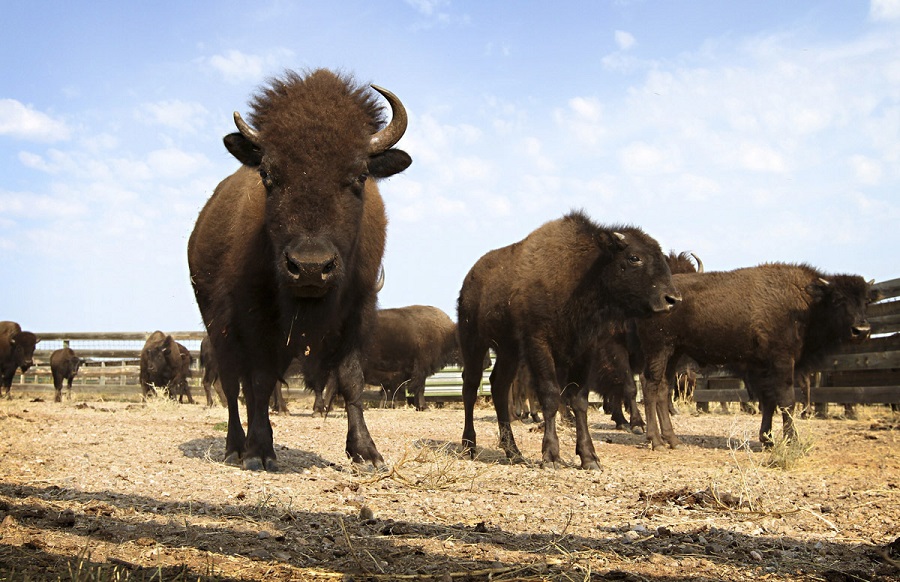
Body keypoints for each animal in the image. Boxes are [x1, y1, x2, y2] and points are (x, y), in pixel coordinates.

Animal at [191, 68, 414, 472]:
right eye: (267, 174)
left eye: (360, 175)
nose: (310, 267)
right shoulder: (254, 318)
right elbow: (260, 381)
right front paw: (258, 452)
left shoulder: (357, 311)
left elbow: (351, 379)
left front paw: (367, 453)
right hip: (218, 330)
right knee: (232, 387)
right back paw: (235, 447)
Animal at [458, 212, 684, 472]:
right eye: (634, 257)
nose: (672, 299)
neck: (581, 273)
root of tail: (470, 278)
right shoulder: (539, 344)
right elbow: (550, 395)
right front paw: (551, 456)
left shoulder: (585, 349)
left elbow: (579, 400)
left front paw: (589, 457)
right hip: (474, 341)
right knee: (470, 387)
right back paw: (469, 446)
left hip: (509, 351)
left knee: (499, 386)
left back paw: (514, 452)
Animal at [636, 264, 876, 452]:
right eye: (838, 299)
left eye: (866, 301)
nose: (862, 330)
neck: (806, 304)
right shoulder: (782, 361)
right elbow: (787, 401)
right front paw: (792, 441)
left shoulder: (763, 368)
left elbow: (769, 401)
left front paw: (767, 440)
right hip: (660, 349)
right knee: (650, 386)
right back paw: (656, 441)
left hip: (674, 352)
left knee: (663, 388)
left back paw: (673, 440)